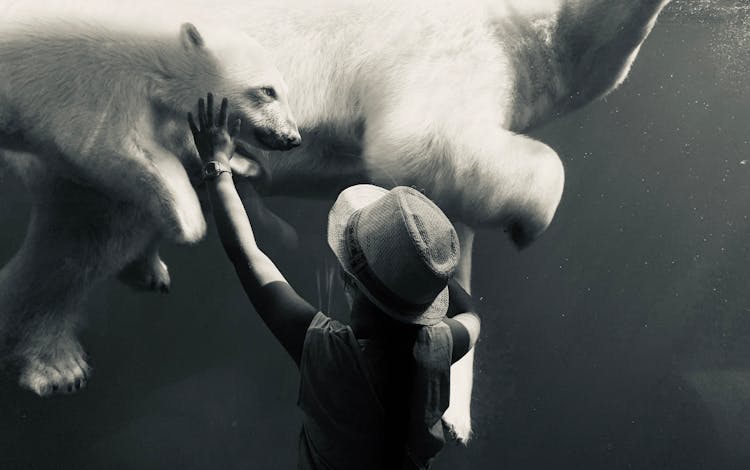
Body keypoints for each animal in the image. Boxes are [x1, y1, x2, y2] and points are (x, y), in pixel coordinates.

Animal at [0, 13, 302, 396]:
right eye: (267, 90)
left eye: (283, 89)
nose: (292, 138)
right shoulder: (84, 85)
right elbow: (121, 146)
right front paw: (189, 220)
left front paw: (241, 164)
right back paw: (59, 368)